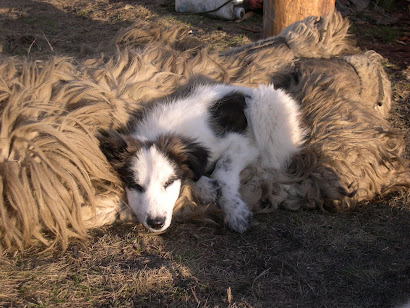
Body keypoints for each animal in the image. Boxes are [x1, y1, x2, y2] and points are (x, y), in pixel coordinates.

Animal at [97, 80, 306, 232]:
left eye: (168, 182)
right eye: (135, 185)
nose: (156, 223)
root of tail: (249, 89)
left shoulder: (243, 144)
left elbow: (222, 173)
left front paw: (236, 211)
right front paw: (206, 187)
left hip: (263, 109)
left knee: (273, 163)